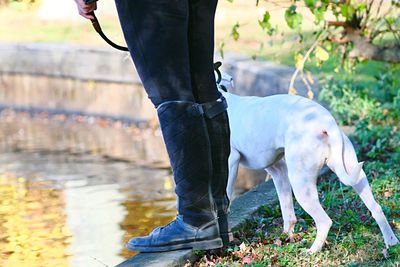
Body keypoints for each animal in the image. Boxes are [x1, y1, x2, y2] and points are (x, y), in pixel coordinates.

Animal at [219, 69, 400, 253]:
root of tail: (325, 119)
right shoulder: (278, 169)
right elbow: (287, 209)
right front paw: (286, 237)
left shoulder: (231, 162)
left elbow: (226, 195)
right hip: (354, 172)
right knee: (376, 208)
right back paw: (391, 242)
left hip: (301, 183)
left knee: (324, 221)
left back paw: (312, 251)